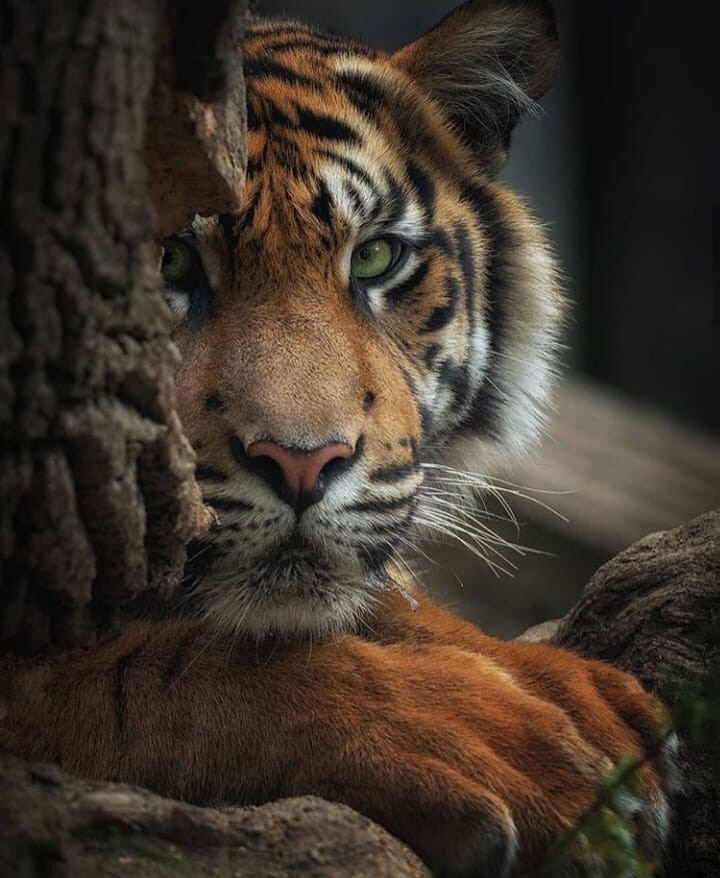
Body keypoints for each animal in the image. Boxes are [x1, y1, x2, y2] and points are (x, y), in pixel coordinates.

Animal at [0, 1, 678, 876]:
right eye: (170, 262)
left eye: (377, 257)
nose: (302, 463)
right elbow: (169, 668)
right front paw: (509, 749)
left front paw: (575, 703)